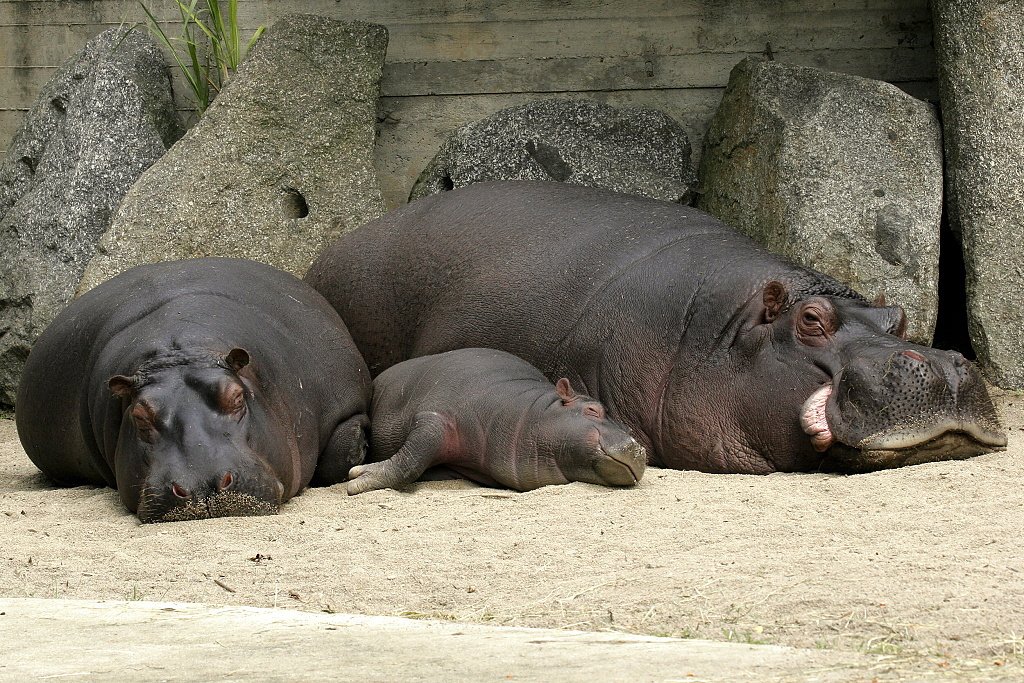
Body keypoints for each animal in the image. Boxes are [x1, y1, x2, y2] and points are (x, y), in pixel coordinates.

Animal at [348, 350, 643, 493]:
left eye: (628, 427)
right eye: (593, 409)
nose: (640, 448)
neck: (532, 410)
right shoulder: (437, 418)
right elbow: (410, 461)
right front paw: (357, 477)